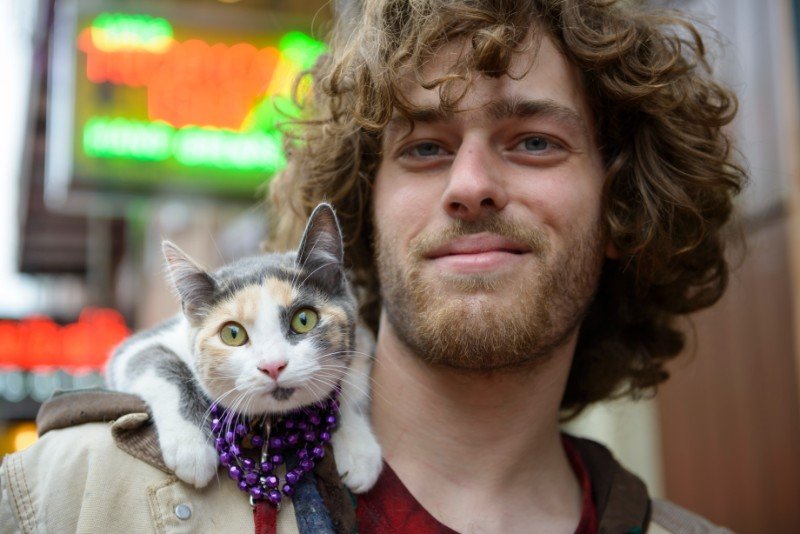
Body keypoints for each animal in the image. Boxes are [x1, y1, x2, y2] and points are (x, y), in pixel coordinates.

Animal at [105, 204, 382, 494]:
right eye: (232, 334)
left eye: (304, 320)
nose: (273, 365)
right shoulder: (137, 346)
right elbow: (153, 360)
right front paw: (191, 445)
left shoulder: (363, 338)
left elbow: (353, 379)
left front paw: (359, 446)